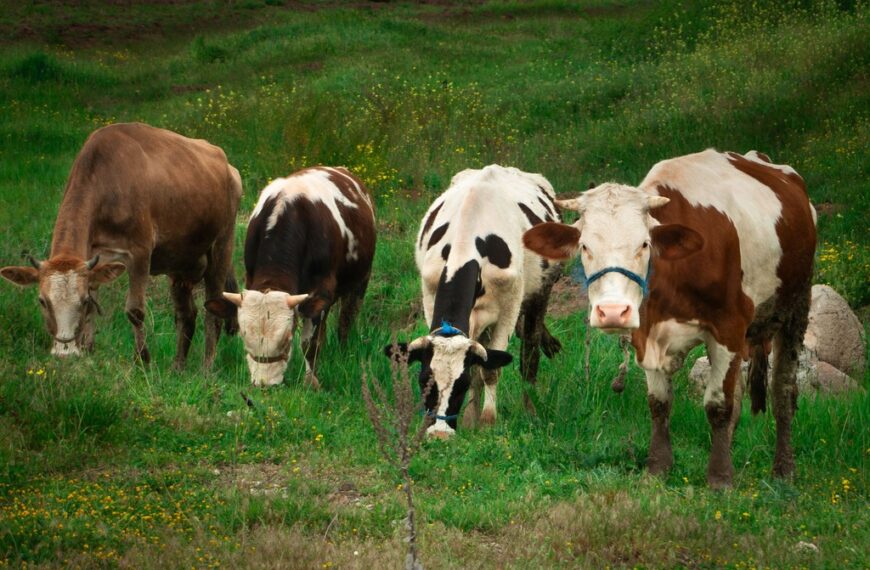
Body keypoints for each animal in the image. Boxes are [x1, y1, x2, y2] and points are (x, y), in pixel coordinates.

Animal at [0, 122, 242, 369]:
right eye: (42, 301)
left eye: (81, 300)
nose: (63, 352)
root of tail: (228, 165)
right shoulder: (93, 258)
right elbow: (94, 308)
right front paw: (87, 349)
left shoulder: (139, 252)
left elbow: (134, 310)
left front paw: (142, 360)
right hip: (180, 262)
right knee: (187, 314)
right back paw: (178, 368)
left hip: (222, 246)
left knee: (213, 312)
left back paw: (207, 368)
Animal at [205, 166, 376, 388]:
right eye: (244, 335)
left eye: (286, 338)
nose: (264, 383)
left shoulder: (321, 292)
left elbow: (310, 342)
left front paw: (311, 381)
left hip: (361, 280)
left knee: (346, 320)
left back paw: (344, 351)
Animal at [386, 165, 563, 438]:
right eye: (424, 380)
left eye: (461, 384)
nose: (439, 434)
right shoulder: (430, 295)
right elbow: (481, 365)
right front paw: (470, 420)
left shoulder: (510, 307)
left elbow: (490, 369)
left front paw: (488, 420)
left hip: (541, 291)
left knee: (529, 352)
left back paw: (529, 408)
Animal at [523, 149, 816, 487]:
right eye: (584, 246)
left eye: (644, 244)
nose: (613, 312)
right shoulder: (645, 332)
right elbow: (659, 402)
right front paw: (658, 468)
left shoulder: (728, 328)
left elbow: (718, 405)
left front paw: (719, 478)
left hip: (797, 307)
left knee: (783, 391)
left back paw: (784, 469)